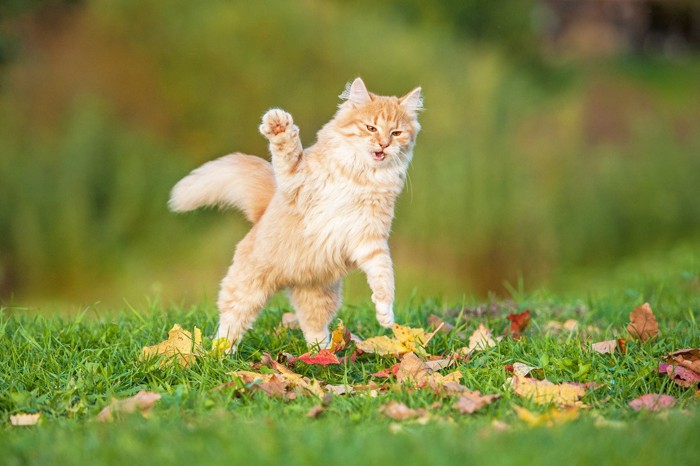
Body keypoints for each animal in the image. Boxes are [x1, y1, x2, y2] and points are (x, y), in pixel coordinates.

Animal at [170, 78, 422, 352]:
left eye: (396, 133)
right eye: (371, 128)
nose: (384, 144)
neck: (359, 176)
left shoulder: (369, 238)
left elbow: (384, 275)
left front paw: (385, 313)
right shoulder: (297, 179)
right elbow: (288, 152)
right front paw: (279, 126)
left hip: (319, 295)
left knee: (313, 328)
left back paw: (322, 354)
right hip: (247, 286)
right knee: (230, 322)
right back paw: (219, 353)